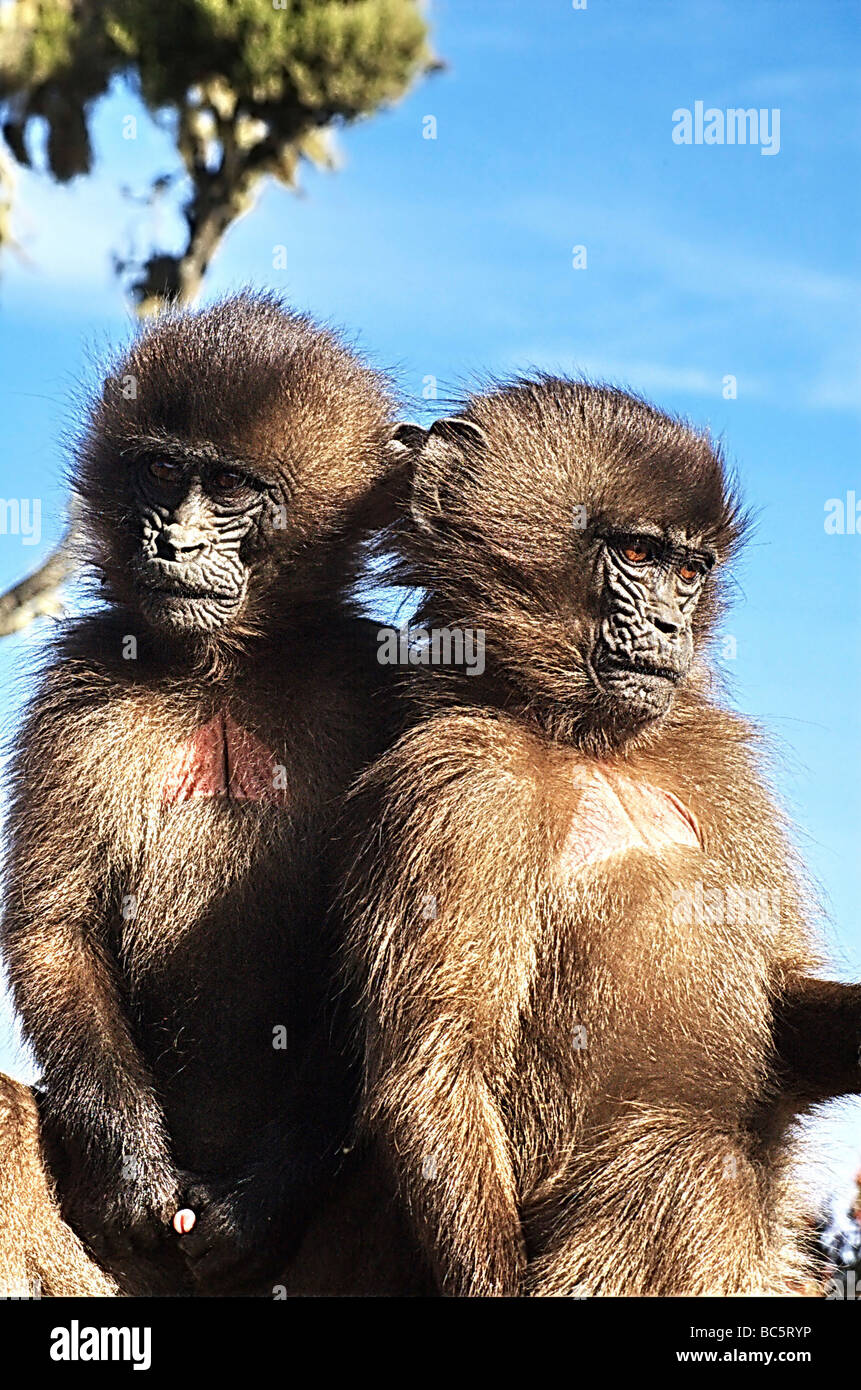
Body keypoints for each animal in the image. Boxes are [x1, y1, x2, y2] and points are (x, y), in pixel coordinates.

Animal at [0, 287, 414, 1295]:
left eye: (227, 489)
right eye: (160, 471)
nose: (171, 541)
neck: (225, 668)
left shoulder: (378, 685)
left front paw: (257, 1205)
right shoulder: (81, 679)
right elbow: (54, 923)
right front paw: (130, 1170)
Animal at [343, 378, 861, 1289]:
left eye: (689, 571)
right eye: (639, 555)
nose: (668, 630)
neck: (591, 747)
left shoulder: (715, 766)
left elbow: (779, 1003)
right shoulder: (460, 787)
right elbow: (437, 1070)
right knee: (696, 1164)